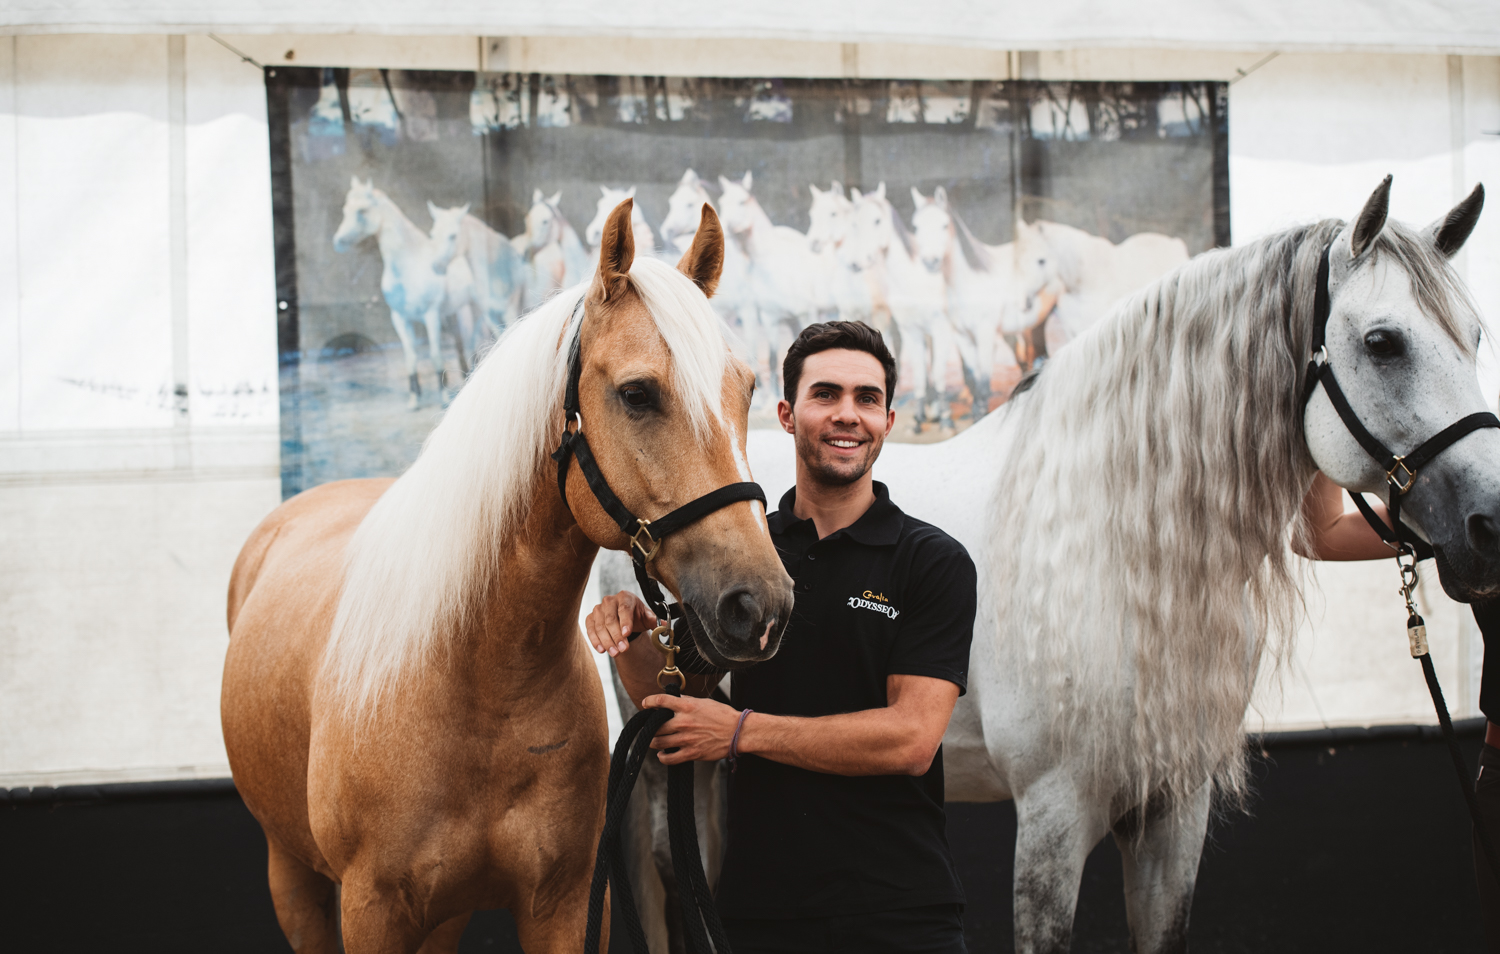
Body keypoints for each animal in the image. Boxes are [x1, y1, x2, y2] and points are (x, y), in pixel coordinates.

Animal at [333, 177, 464, 409]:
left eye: (362, 210)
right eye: (345, 209)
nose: (338, 241)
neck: (408, 266)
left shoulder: (431, 315)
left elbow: (435, 355)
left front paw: (443, 398)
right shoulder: (400, 318)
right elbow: (410, 358)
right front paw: (414, 399)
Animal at [845, 183, 953, 432]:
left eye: (877, 220)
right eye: (854, 222)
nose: (855, 263)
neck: (913, 279)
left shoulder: (940, 328)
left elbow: (939, 372)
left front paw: (945, 420)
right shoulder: (910, 330)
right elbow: (921, 373)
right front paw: (918, 420)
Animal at [909, 186, 1020, 419]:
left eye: (944, 224)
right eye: (916, 226)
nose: (930, 261)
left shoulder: (986, 333)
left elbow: (984, 384)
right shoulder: (962, 336)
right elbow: (975, 379)